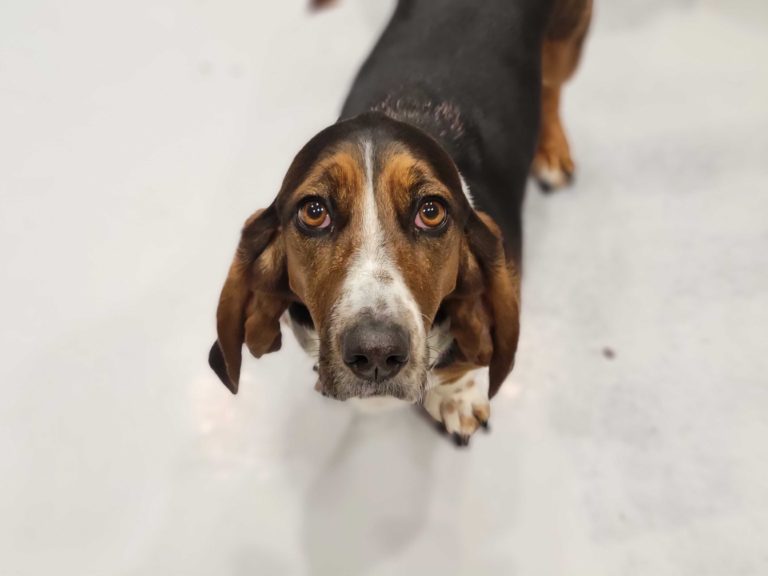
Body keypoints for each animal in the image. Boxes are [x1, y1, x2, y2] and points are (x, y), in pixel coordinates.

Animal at [210, 0, 592, 446]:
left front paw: (456, 398)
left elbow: (458, 366)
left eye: (431, 211)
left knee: (551, 87)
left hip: (568, 35)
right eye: (313, 211)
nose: (376, 352)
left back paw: (551, 150)